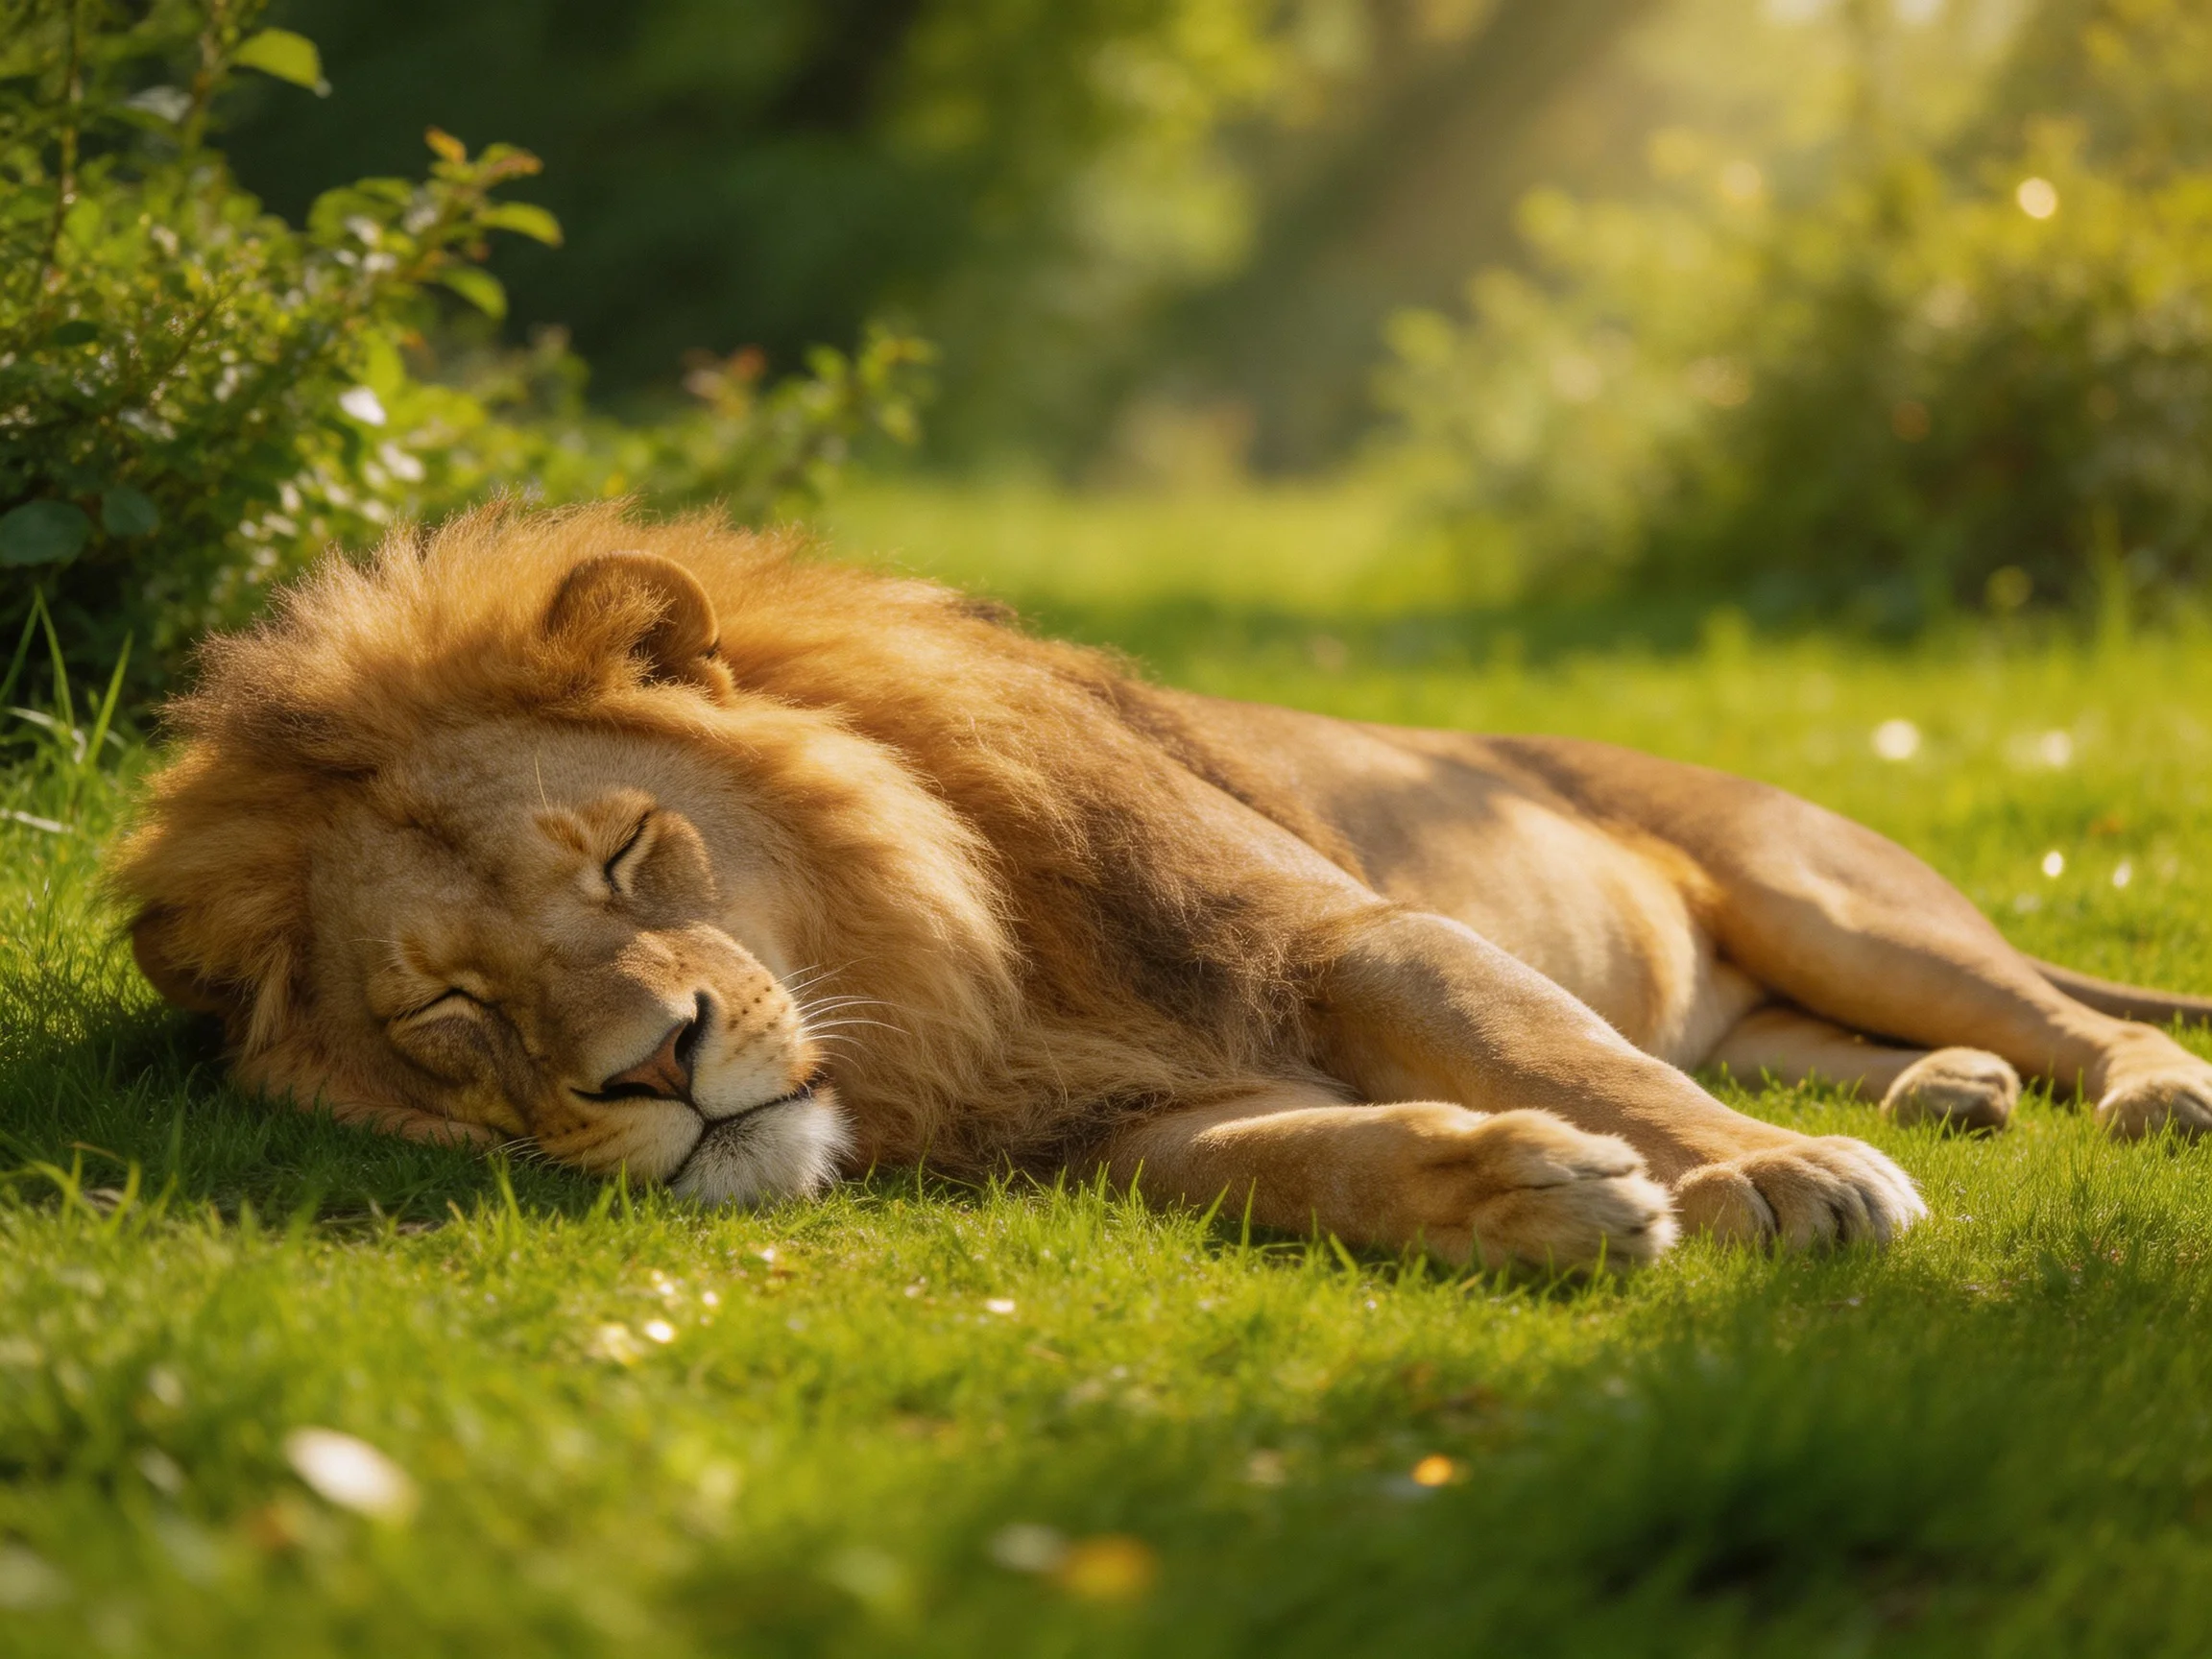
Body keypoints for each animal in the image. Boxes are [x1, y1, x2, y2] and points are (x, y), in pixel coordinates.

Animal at [113, 504, 2212, 1269]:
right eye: (453, 1012)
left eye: (627, 854)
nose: (658, 1064)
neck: (945, 980)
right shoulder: (1096, 1115)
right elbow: (1289, 1165)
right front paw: (1517, 1198)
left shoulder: (1343, 929)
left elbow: (1577, 1054)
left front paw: (1761, 1184)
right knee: (1818, 1037)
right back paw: (1944, 1095)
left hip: (1826, 892)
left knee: (2052, 1008)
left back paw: (2127, 1090)